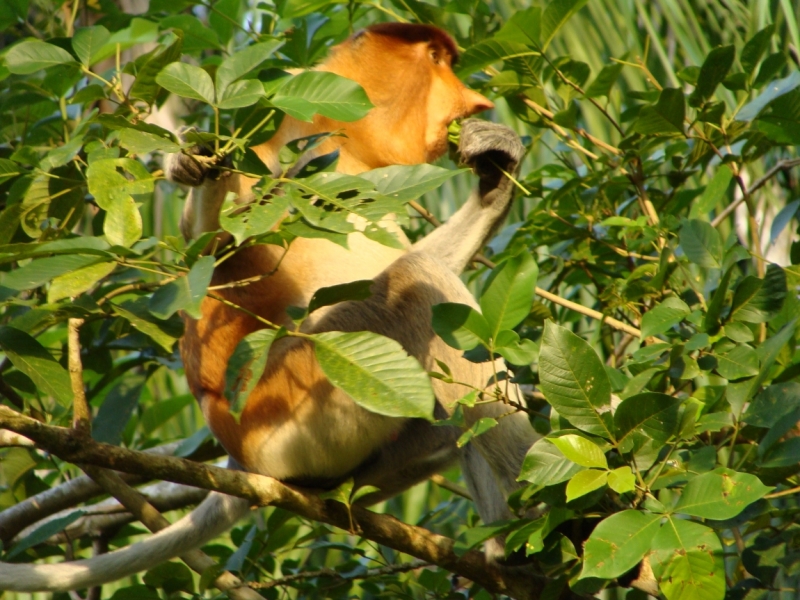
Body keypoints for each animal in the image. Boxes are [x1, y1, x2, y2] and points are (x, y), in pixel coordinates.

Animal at [1, 22, 536, 592]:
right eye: (435, 58)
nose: (474, 102)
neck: (341, 138)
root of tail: (242, 455)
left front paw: (498, 169)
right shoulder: (283, 145)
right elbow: (210, 246)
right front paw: (193, 161)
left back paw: (508, 550)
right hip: (303, 407)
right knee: (413, 287)